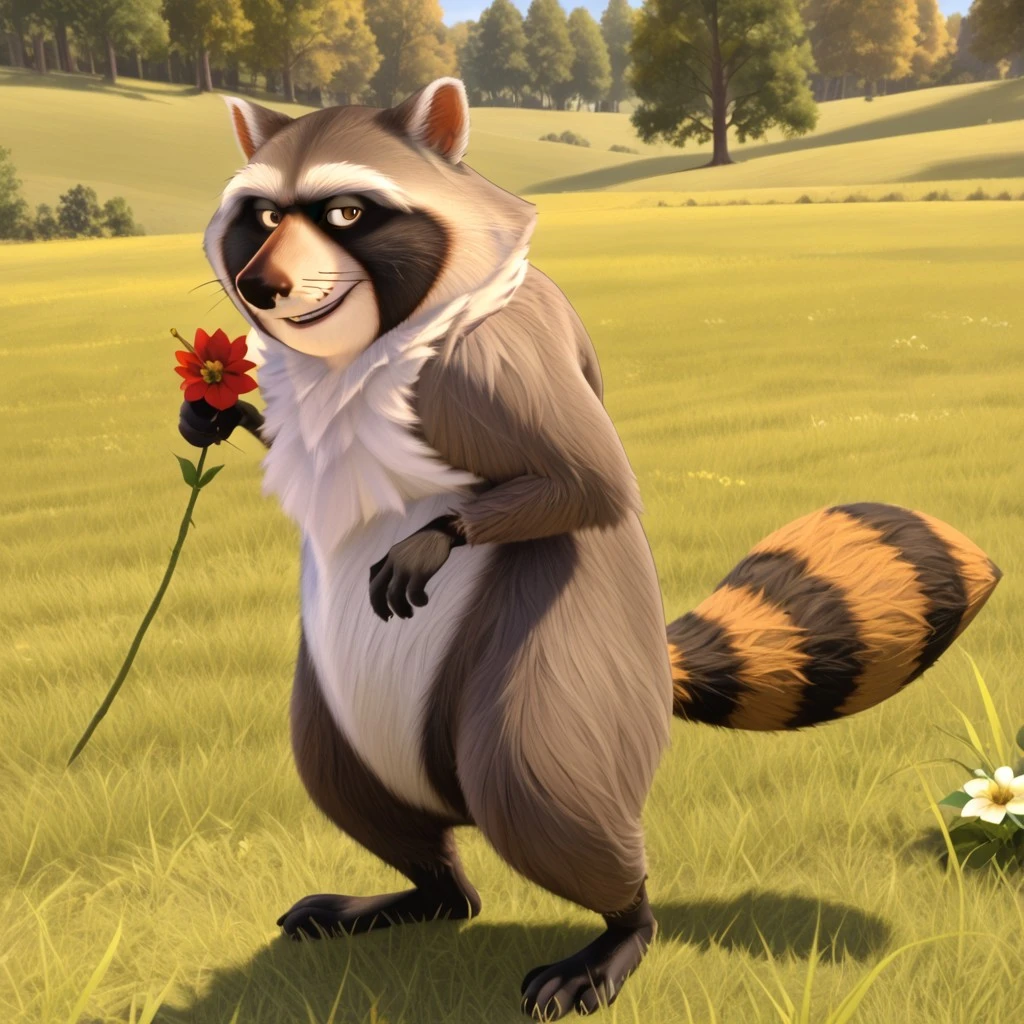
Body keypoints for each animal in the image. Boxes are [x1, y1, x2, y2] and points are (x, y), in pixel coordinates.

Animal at [184, 78, 1002, 1020]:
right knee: (351, 787)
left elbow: (590, 482)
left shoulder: (496, 359)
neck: (362, 350)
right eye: (262, 214)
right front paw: (215, 413)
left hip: (561, 667)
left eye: (347, 211)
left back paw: (621, 925)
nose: (262, 285)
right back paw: (426, 890)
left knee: (539, 788)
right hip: (346, 719)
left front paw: (437, 535)